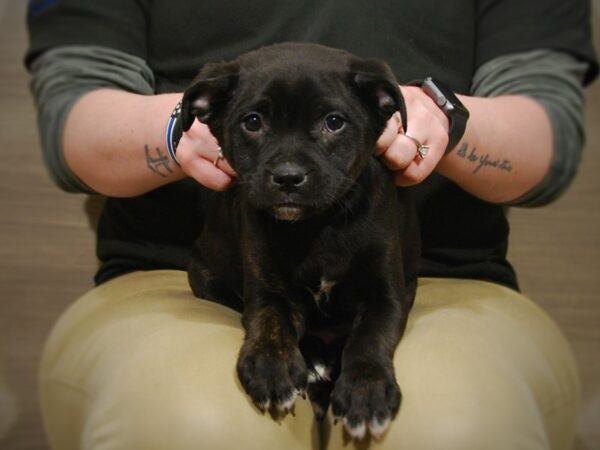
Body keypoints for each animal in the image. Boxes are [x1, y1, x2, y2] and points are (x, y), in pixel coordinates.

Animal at [180, 43, 420, 440]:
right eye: (253, 121)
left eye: (334, 122)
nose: (288, 177)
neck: (319, 226)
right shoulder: (266, 287)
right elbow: (270, 318)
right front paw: (271, 366)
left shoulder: (386, 293)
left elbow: (370, 335)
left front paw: (365, 391)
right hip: (203, 272)